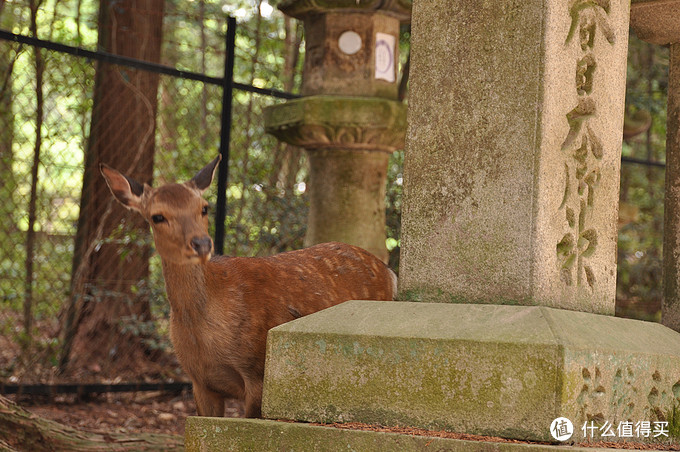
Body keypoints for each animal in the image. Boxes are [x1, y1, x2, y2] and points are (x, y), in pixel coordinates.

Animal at [101, 155, 398, 416]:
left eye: (204, 208)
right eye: (157, 217)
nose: (202, 244)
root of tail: (389, 272)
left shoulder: (257, 372)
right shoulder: (199, 382)